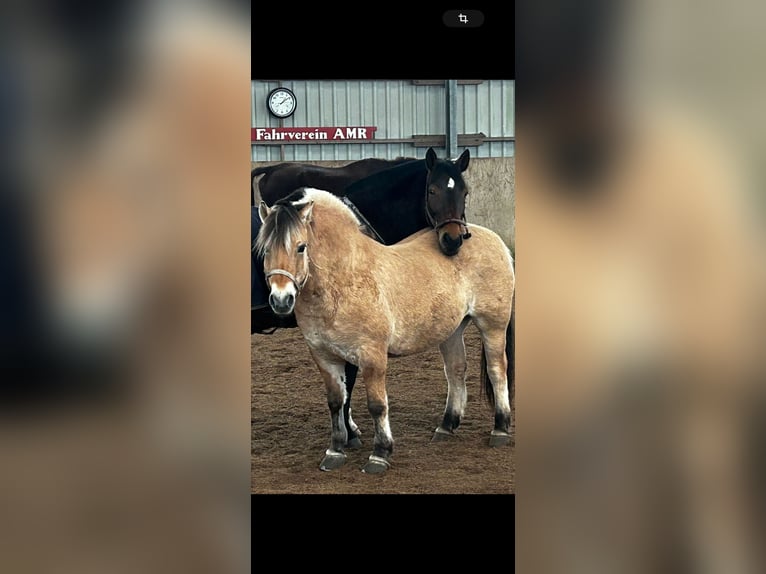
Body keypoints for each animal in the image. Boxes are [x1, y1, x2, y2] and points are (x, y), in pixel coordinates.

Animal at [256, 187, 516, 474]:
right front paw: (335, 451)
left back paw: (500, 429)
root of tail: (494, 240)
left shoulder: (372, 356)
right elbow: (336, 403)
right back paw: (446, 426)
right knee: (456, 371)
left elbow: (377, 405)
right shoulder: (324, 356)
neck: (343, 280)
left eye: (301, 247)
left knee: (497, 370)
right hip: (452, 331)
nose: (281, 300)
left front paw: (379, 455)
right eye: (265, 249)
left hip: (492, 324)